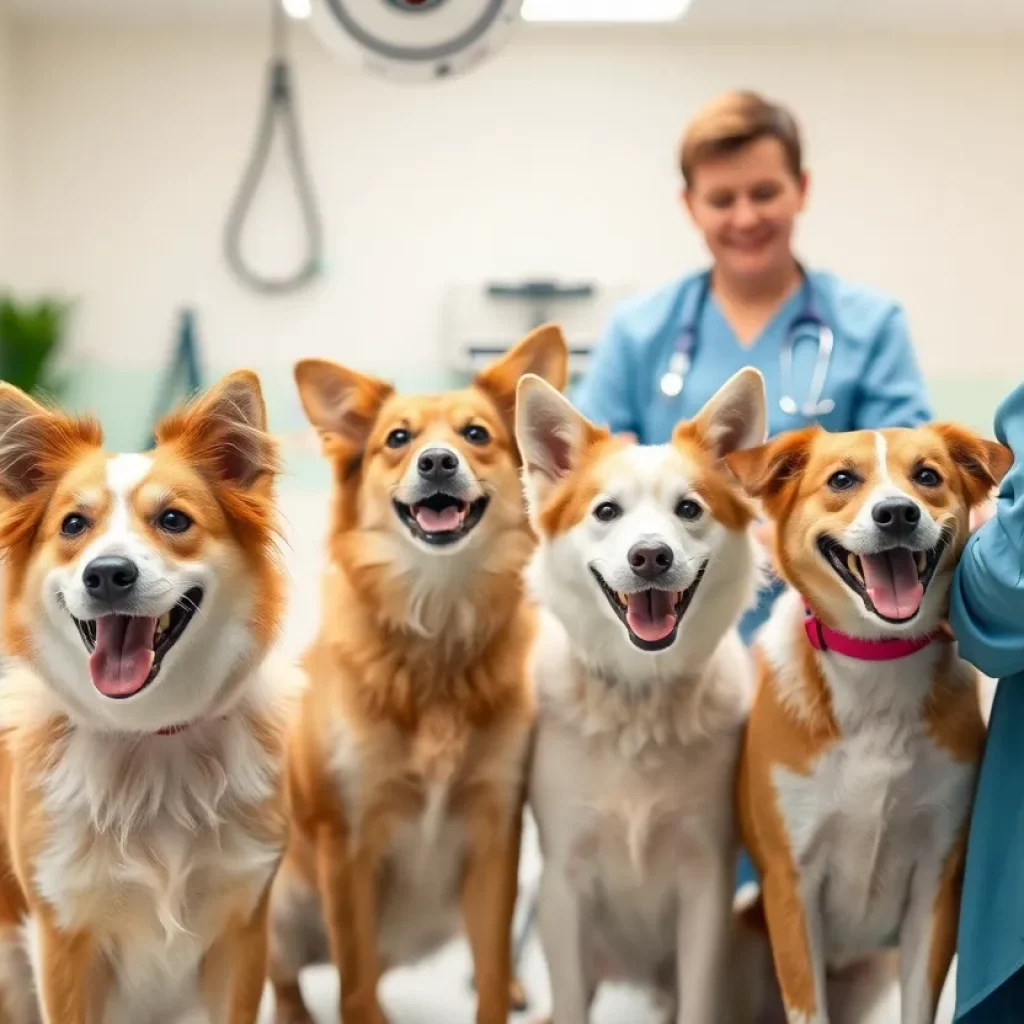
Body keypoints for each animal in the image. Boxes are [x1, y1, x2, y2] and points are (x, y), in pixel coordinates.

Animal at [266, 325, 569, 1024]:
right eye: (398, 439)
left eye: (477, 433)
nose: (436, 462)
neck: (438, 628)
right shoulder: (346, 844)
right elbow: (354, 982)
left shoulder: (496, 832)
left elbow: (490, 968)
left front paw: (502, 993)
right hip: (284, 904)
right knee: (290, 974)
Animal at [520, 364, 770, 1019]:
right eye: (606, 511)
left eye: (689, 508)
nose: (651, 556)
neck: (641, 697)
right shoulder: (563, 887)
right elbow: (569, 1003)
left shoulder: (706, 885)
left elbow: (700, 1004)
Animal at [724, 419, 1011, 1019]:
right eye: (841, 480)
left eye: (927, 476)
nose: (897, 513)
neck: (878, 662)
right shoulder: (792, 888)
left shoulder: (935, 887)